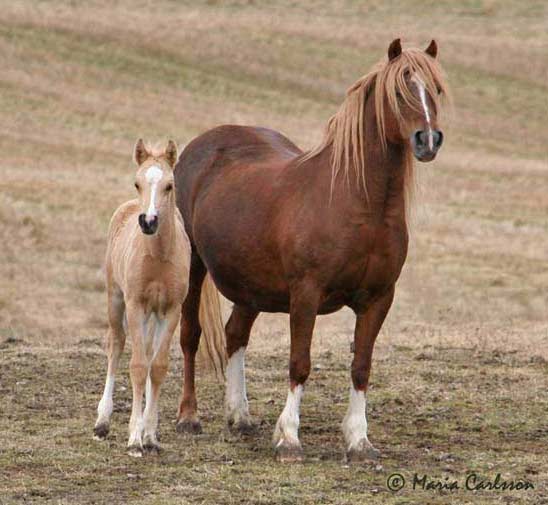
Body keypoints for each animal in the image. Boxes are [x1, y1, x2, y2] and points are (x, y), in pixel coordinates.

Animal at [96, 139, 193, 456]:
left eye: (169, 185)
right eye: (137, 183)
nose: (148, 221)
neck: (159, 257)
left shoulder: (172, 309)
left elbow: (158, 367)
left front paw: (150, 435)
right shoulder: (135, 305)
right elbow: (138, 366)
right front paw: (134, 440)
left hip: (154, 314)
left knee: (149, 353)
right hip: (115, 299)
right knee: (116, 346)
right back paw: (102, 422)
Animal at [174, 40, 450, 460]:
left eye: (434, 90)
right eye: (400, 91)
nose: (428, 140)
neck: (359, 205)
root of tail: (201, 146)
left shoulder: (378, 299)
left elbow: (361, 366)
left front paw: (359, 440)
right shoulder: (306, 295)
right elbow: (299, 363)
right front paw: (289, 437)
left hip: (250, 286)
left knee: (235, 335)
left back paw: (240, 416)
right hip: (194, 264)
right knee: (191, 334)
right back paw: (188, 417)